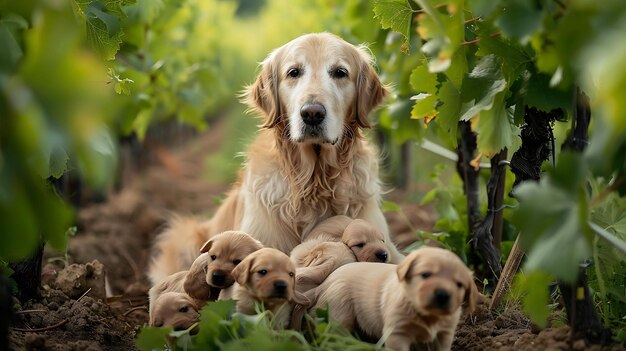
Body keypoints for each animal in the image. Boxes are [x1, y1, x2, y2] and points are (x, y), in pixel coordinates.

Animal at [310, 248, 476, 351]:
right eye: (426, 274)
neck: (427, 316)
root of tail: (325, 282)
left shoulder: (445, 333)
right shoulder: (397, 333)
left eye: (459, 284)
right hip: (339, 313)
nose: (443, 294)